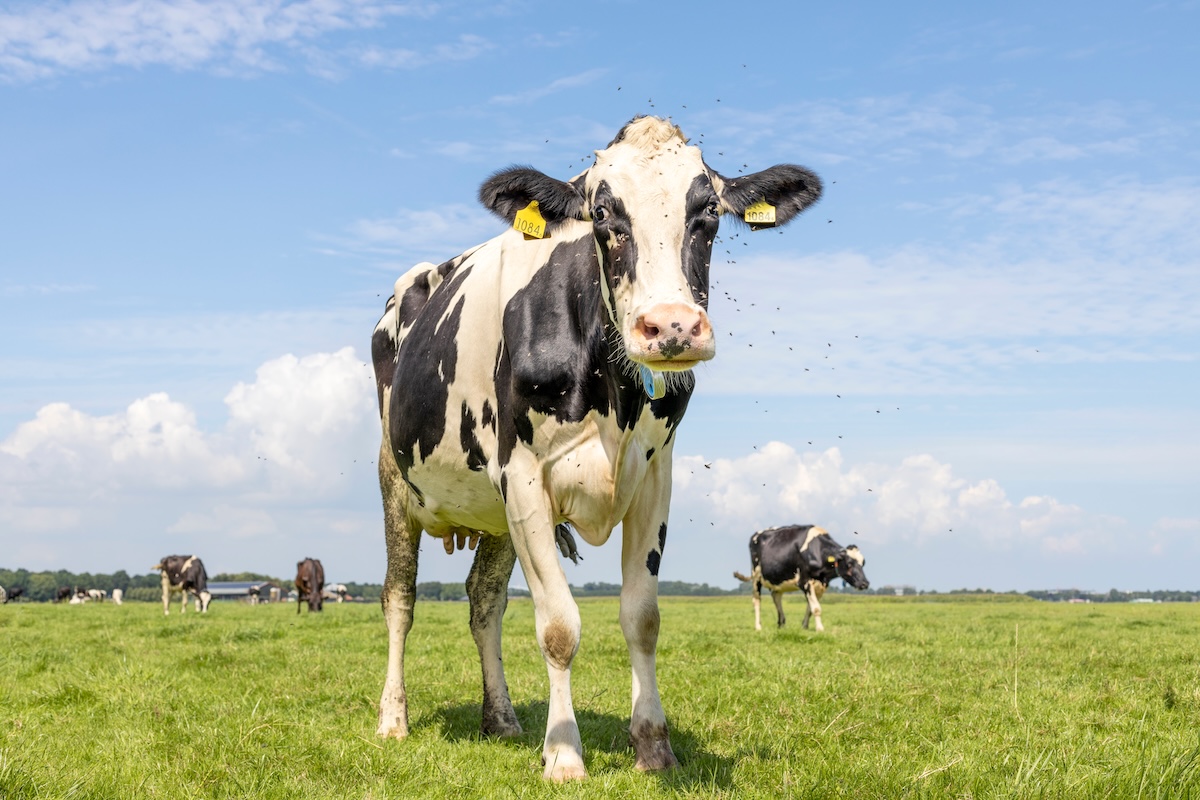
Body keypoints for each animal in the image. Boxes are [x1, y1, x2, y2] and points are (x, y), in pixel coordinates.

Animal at [371, 116, 822, 781]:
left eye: (709, 212)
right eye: (604, 213)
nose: (671, 327)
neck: (612, 394)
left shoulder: (654, 478)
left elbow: (643, 618)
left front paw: (653, 745)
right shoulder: (523, 477)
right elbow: (558, 627)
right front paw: (563, 754)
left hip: (493, 512)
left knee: (484, 603)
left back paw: (501, 719)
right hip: (395, 480)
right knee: (399, 599)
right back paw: (393, 719)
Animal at [733, 525, 870, 632]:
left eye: (863, 563)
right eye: (849, 564)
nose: (865, 583)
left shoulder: (821, 585)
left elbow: (810, 608)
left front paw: (805, 627)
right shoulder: (805, 582)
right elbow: (816, 608)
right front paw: (820, 629)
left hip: (778, 580)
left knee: (776, 597)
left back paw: (781, 623)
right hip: (756, 576)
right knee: (757, 601)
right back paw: (758, 627)